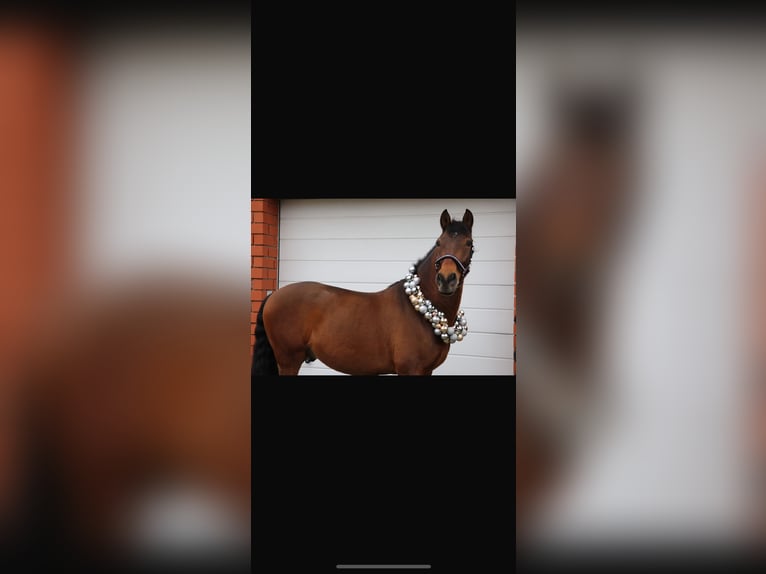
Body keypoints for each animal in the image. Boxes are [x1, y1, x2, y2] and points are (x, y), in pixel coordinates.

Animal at [252, 209, 475, 376]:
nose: (446, 279)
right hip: (289, 360)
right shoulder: (410, 369)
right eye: (438, 243)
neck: (419, 312)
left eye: (469, 243)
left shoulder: (426, 370)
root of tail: (273, 295)